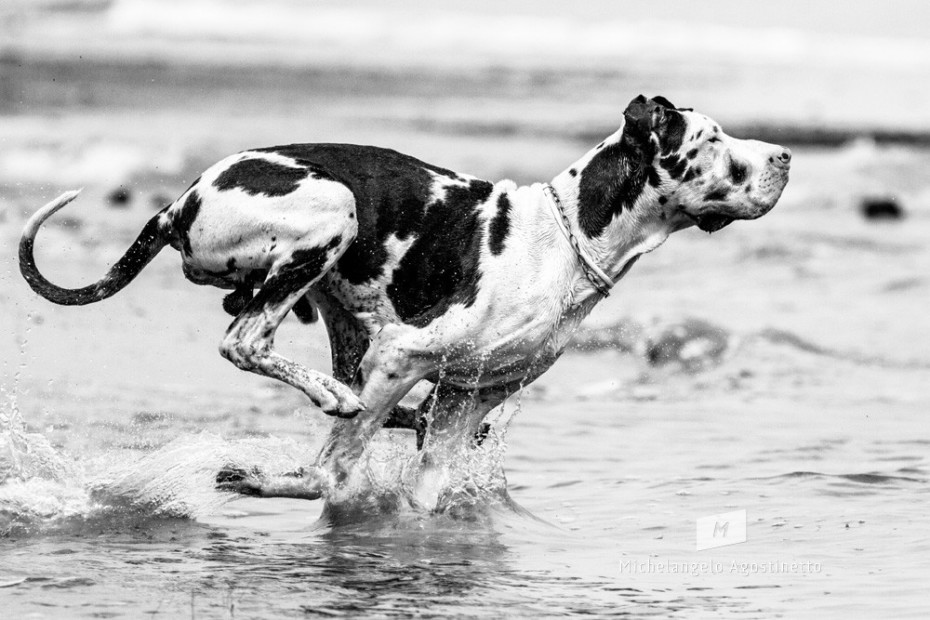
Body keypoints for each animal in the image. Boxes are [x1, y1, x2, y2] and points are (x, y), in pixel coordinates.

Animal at [20, 95, 792, 504]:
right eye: (713, 139)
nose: (785, 156)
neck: (565, 236)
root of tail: (180, 201)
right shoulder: (405, 353)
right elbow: (330, 471)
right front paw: (283, 477)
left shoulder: (470, 394)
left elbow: (424, 477)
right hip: (331, 214)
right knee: (246, 342)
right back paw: (328, 400)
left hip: (340, 307)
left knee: (274, 339)